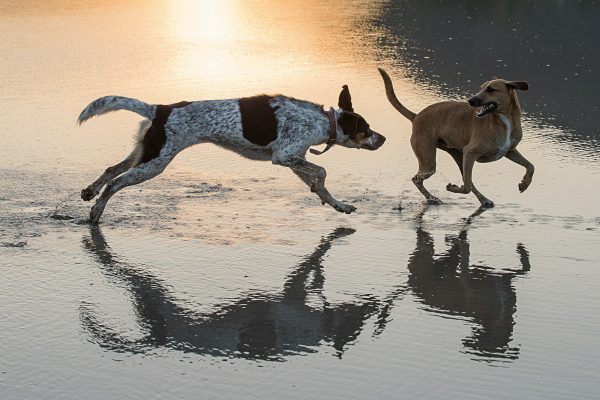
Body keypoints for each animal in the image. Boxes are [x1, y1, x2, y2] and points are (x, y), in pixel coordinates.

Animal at [78, 85, 384, 223]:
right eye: (366, 129)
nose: (383, 138)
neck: (322, 121)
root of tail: (160, 109)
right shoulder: (284, 156)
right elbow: (322, 171)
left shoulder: (294, 160)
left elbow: (320, 184)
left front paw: (338, 205)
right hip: (155, 163)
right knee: (115, 183)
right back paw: (96, 211)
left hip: (146, 154)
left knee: (111, 170)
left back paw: (90, 192)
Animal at [380, 69, 536, 208]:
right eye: (481, 89)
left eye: (491, 89)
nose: (470, 101)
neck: (504, 119)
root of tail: (416, 116)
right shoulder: (470, 152)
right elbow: (466, 187)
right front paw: (452, 188)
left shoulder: (509, 151)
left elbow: (530, 166)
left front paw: (524, 183)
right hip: (431, 160)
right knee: (418, 179)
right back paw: (433, 198)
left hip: (459, 157)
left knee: (467, 180)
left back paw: (483, 199)